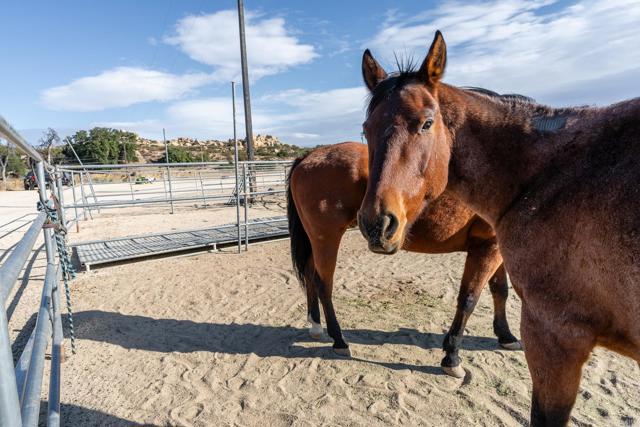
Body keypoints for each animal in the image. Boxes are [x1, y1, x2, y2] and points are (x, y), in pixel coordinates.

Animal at [284, 141, 520, 378]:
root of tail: (309, 156)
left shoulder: (495, 249)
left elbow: (500, 291)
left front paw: (506, 336)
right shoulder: (487, 249)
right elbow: (468, 300)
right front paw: (452, 357)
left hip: (315, 241)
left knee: (310, 275)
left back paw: (316, 326)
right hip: (327, 239)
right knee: (324, 285)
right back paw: (339, 340)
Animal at [360, 31, 640, 426]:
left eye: (427, 123)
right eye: (365, 130)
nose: (377, 223)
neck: (546, 175)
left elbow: (482, 294)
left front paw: (485, 342)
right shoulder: (550, 334)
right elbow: (482, 294)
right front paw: (457, 354)